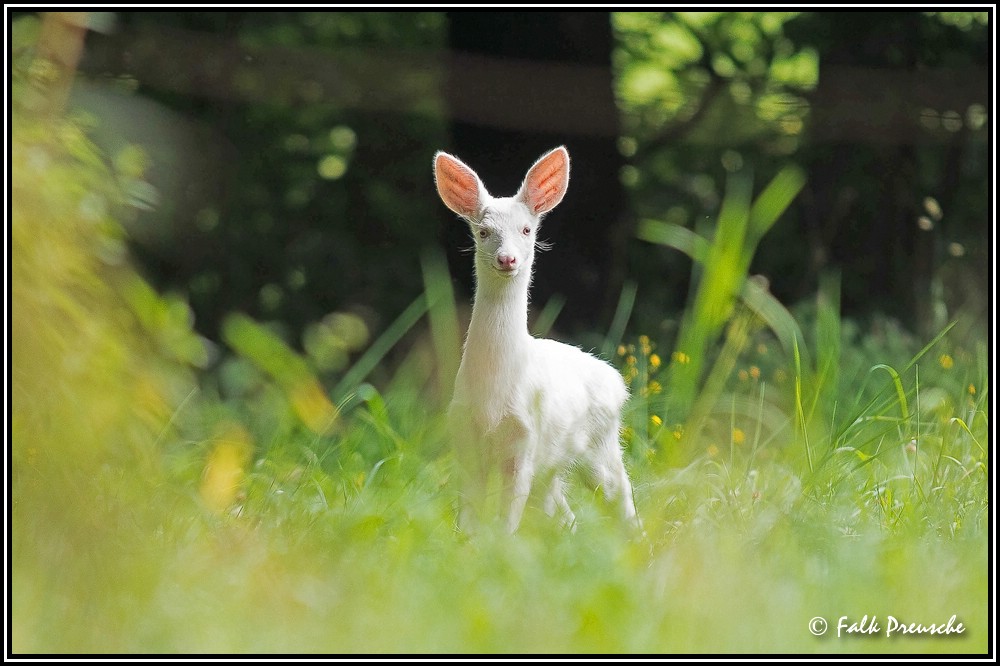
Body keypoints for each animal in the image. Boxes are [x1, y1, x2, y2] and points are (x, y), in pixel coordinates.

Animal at [432, 147, 636, 536]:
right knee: (563, 511)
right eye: (483, 231)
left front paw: (500, 544)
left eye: (526, 229)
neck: (493, 399)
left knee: (621, 493)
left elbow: (507, 516)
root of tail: (618, 381)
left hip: (600, 442)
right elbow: (470, 514)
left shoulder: (524, 438)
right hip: (553, 463)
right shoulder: (465, 437)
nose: (507, 258)